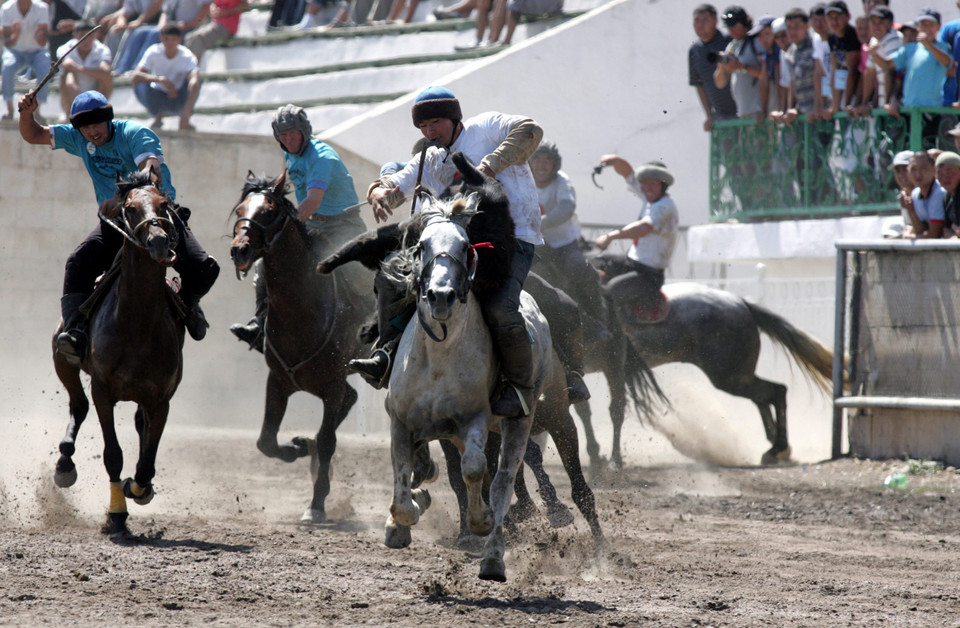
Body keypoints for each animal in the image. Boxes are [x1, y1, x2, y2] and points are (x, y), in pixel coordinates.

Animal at [52, 169, 186, 536]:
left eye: (164, 204)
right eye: (130, 208)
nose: (158, 241)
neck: (136, 323)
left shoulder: (161, 399)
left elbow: (147, 462)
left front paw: (138, 489)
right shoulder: (103, 390)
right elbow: (113, 454)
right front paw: (116, 515)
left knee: (140, 426)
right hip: (62, 359)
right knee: (79, 405)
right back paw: (64, 463)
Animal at [227, 172, 374, 524]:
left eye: (268, 211)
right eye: (240, 209)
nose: (239, 250)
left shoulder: (332, 385)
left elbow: (328, 441)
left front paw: (316, 505)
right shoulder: (278, 381)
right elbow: (266, 442)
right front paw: (298, 448)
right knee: (351, 399)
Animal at [536, 248, 836, 468]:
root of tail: (741, 304)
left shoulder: (613, 366)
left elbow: (613, 409)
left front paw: (611, 460)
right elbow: (583, 411)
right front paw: (595, 453)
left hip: (729, 375)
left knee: (776, 391)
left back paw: (777, 448)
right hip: (737, 375)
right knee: (765, 395)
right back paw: (775, 445)